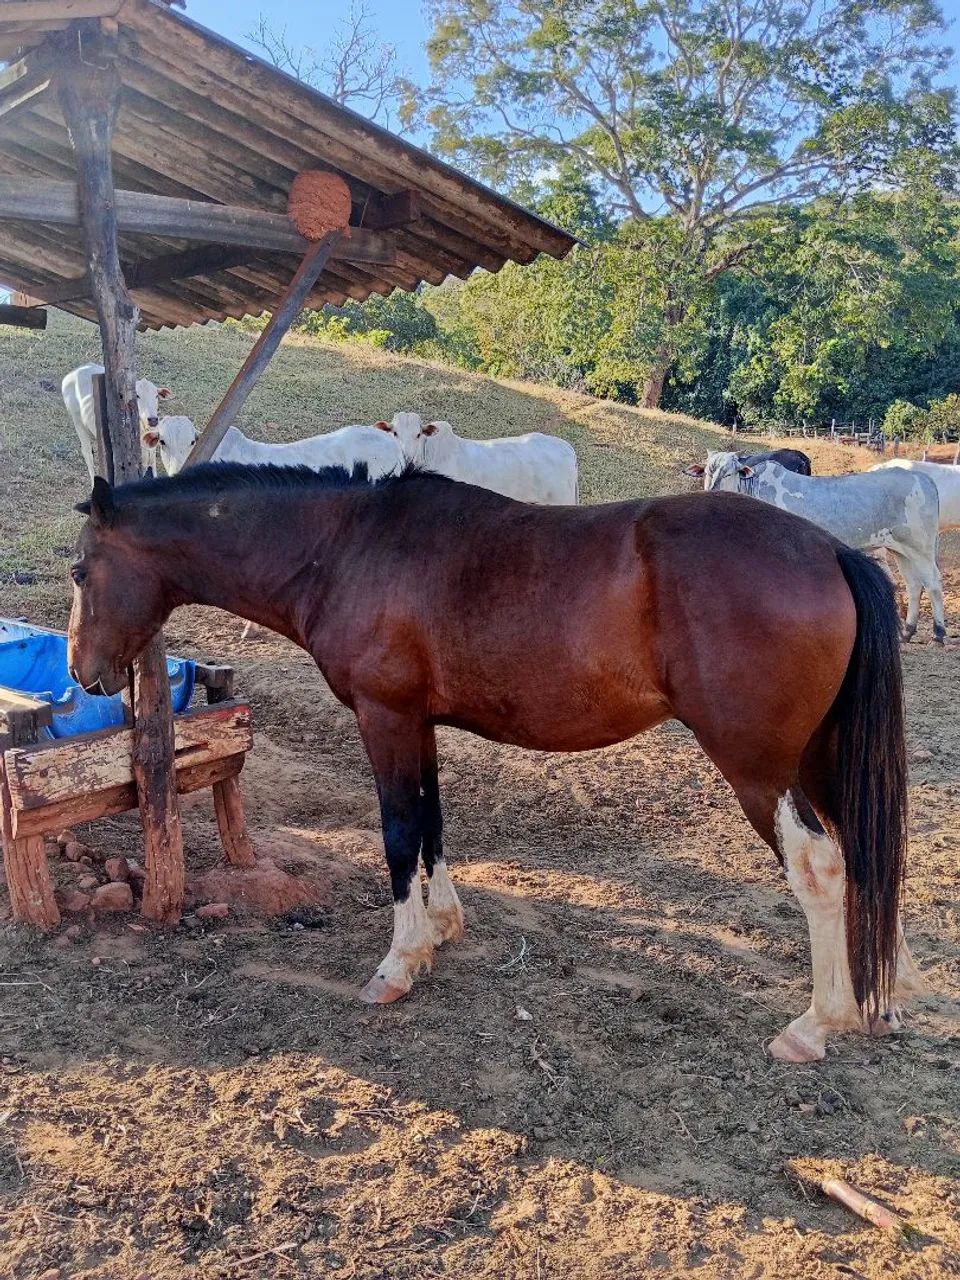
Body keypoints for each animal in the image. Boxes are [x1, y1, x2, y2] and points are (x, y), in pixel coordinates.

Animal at [67, 463, 922, 1063]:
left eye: (79, 571)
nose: (83, 671)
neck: (343, 548)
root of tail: (831, 550)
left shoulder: (385, 719)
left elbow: (398, 835)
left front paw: (399, 962)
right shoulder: (419, 724)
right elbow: (432, 825)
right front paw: (442, 929)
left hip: (759, 768)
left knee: (823, 868)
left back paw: (818, 1023)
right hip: (818, 759)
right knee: (865, 850)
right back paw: (882, 995)